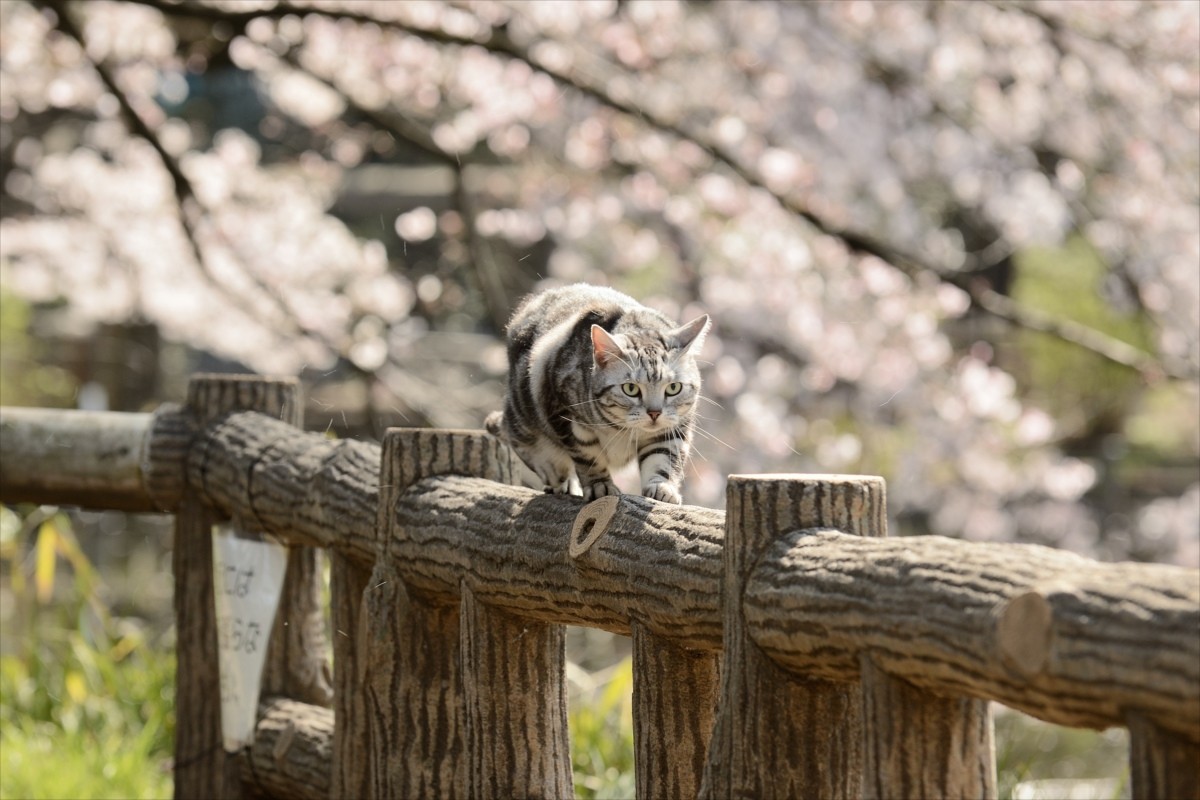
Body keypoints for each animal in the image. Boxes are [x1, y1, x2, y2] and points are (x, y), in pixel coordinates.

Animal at [487, 284, 705, 503]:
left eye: (673, 388)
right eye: (631, 389)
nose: (654, 413)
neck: (622, 429)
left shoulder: (674, 428)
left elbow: (663, 458)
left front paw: (662, 487)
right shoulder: (566, 415)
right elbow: (588, 457)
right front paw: (600, 485)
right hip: (523, 425)